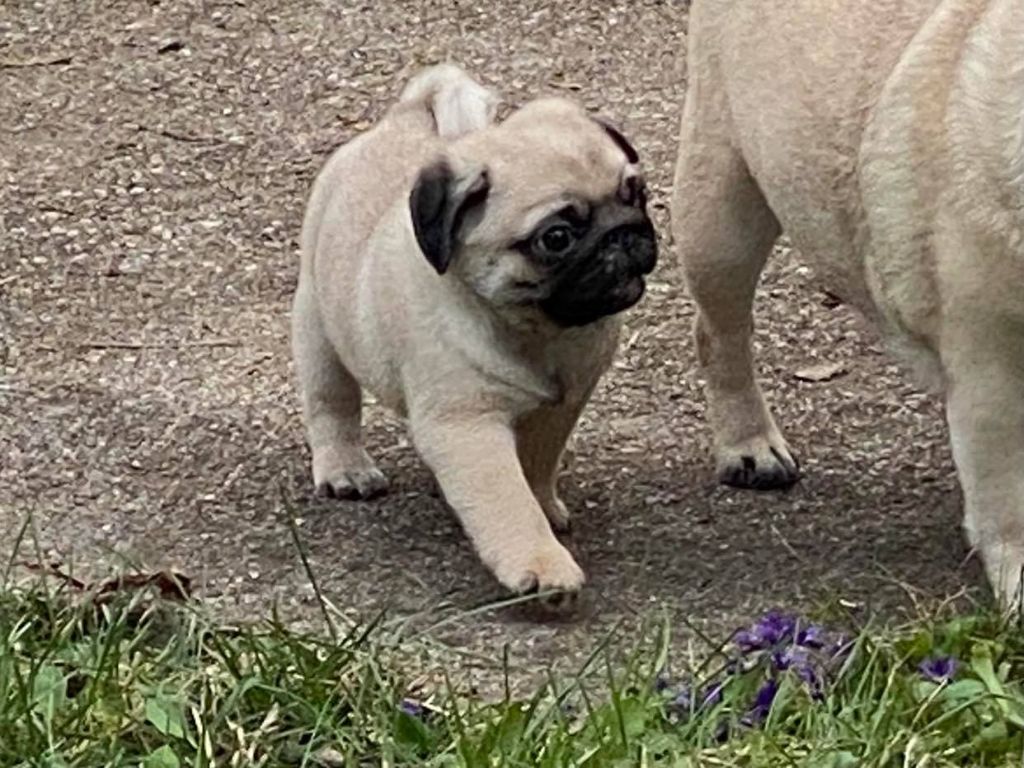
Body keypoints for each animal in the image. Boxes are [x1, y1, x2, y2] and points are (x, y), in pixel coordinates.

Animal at [290, 64, 655, 593]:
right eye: (557, 238)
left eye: (637, 195)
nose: (623, 233)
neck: (539, 330)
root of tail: (404, 118)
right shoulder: (468, 425)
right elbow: (507, 501)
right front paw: (541, 565)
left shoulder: (559, 408)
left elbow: (534, 468)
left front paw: (543, 504)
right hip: (319, 325)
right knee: (331, 402)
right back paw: (346, 468)